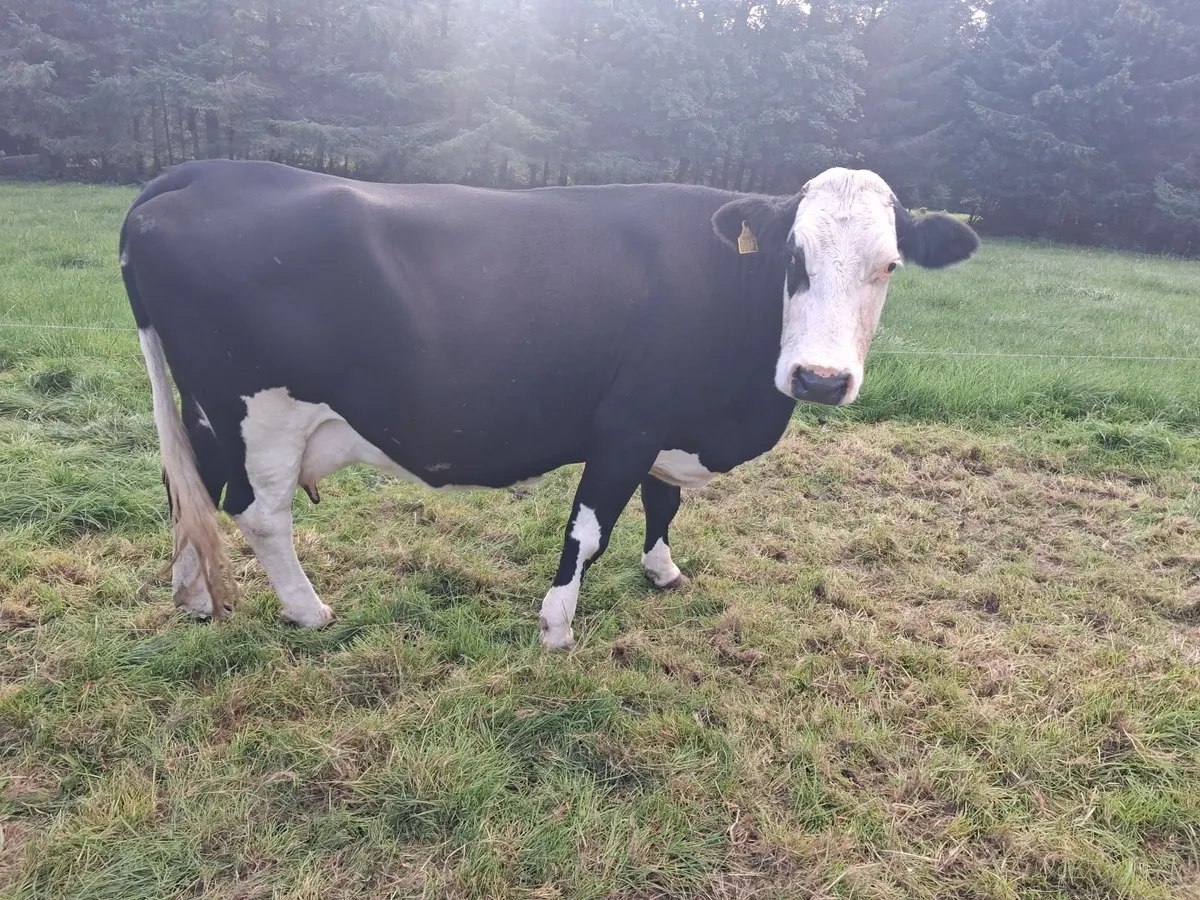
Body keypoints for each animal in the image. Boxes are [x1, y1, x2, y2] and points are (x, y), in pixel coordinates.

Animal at [119, 159, 979, 649]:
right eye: (791, 258)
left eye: (890, 265)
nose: (820, 379)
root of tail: (203, 172)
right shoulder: (628, 423)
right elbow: (590, 527)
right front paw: (557, 627)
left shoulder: (666, 426)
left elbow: (662, 504)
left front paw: (663, 570)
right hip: (259, 410)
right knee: (258, 513)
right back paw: (308, 612)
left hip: (204, 411)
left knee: (187, 488)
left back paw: (193, 598)